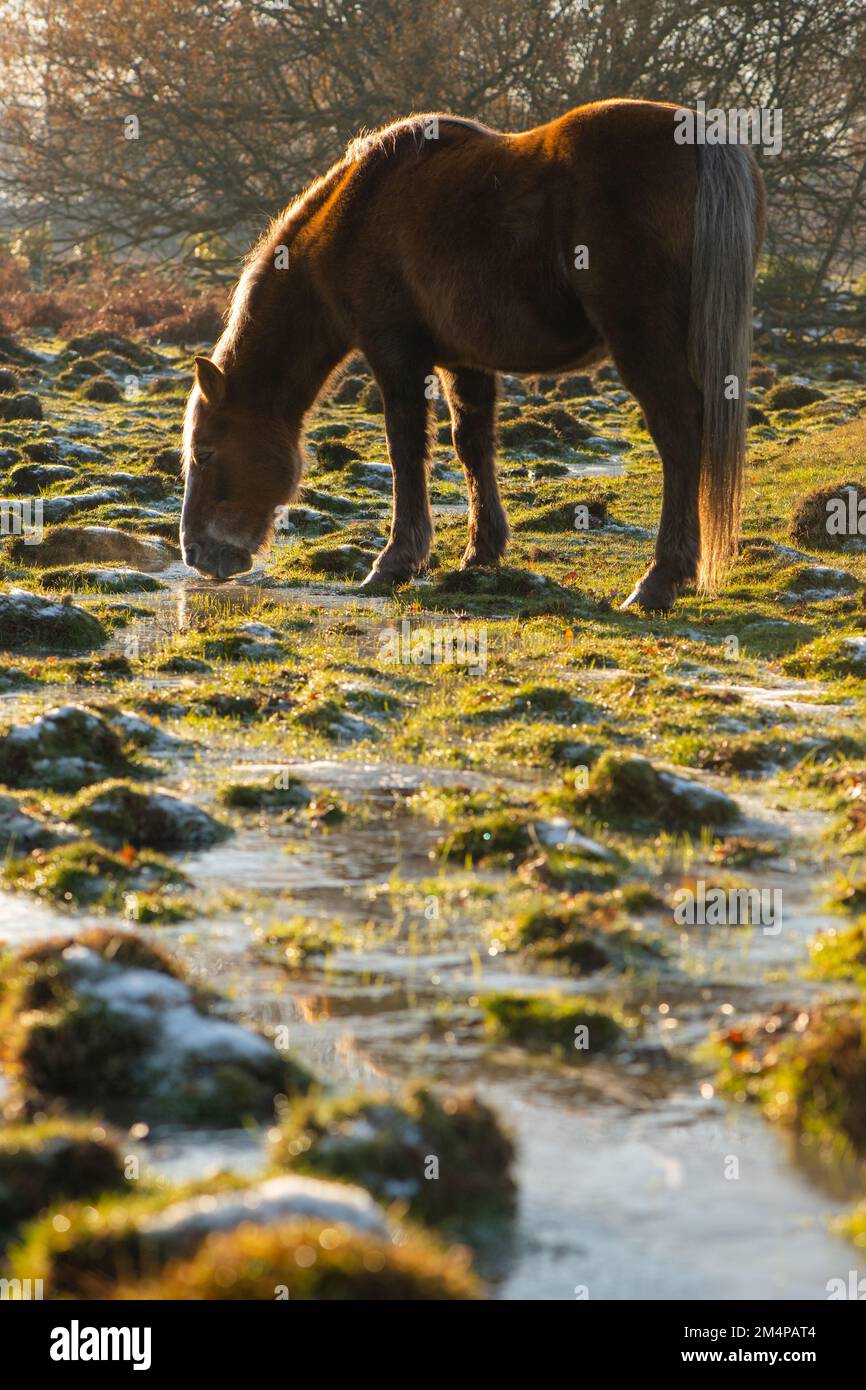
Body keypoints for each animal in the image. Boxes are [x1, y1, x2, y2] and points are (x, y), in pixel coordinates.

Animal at [179, 100, 761, 611]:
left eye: (205, 452)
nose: (196, 554)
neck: (357, 213)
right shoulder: (465, 360)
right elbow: (472, 446)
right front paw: (481, 553)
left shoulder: (397, 354)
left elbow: (406, 451)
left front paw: (395, 562)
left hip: (643, 342)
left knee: (679, 440)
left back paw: (659, 581)